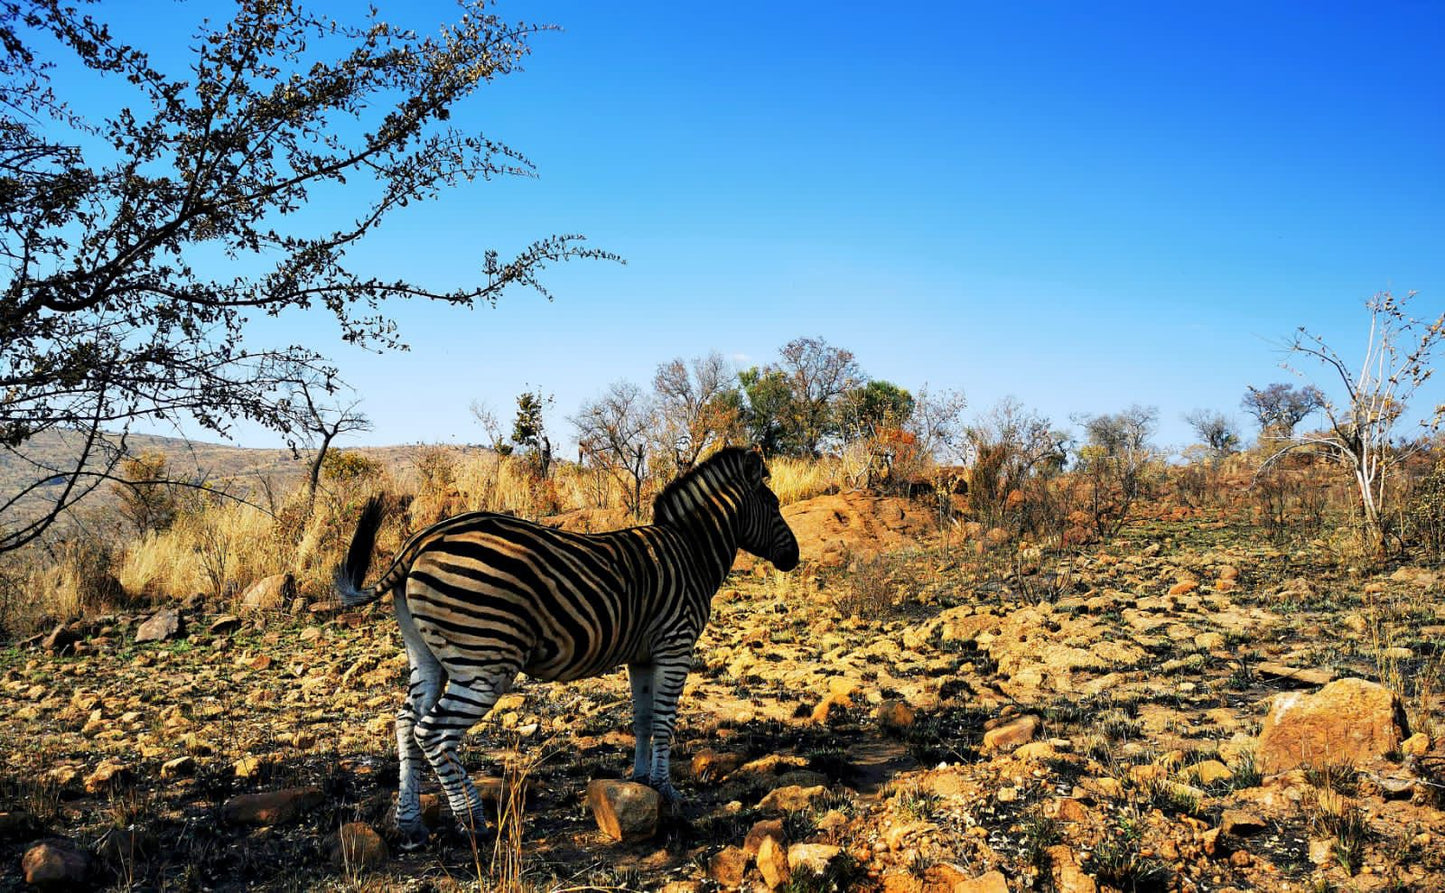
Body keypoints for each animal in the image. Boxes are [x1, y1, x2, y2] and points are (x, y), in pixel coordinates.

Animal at [332, 445, 797, 843]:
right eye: (774, 505)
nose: (794, 558)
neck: (691, 552)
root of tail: (421, 540)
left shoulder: (642, 655)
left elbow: (643, 719)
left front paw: (641, 780)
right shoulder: (675, 645)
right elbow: (665, 722)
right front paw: (668, 791)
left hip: (428, 656)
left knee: (406, 723)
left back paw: (410, 824)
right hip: (485, 662)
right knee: (433, 732)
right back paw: (474, 822)